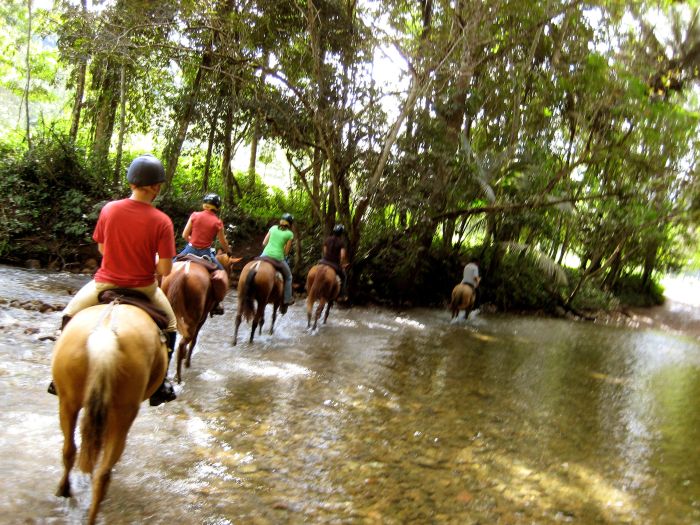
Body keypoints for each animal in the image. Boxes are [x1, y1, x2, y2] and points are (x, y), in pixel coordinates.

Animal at [50, 300, 168, 524]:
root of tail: (105, 332)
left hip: (73, 404)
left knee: (75, 453)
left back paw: (66, 491)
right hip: (111, 412)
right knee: (88, 461)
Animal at [161, 250, 238, 380]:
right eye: (230, 267)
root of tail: (181, 275)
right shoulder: (203, 317)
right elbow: (194, 340)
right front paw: (187, 362)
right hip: (193, 318)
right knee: (183, 343)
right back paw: (178, 376)